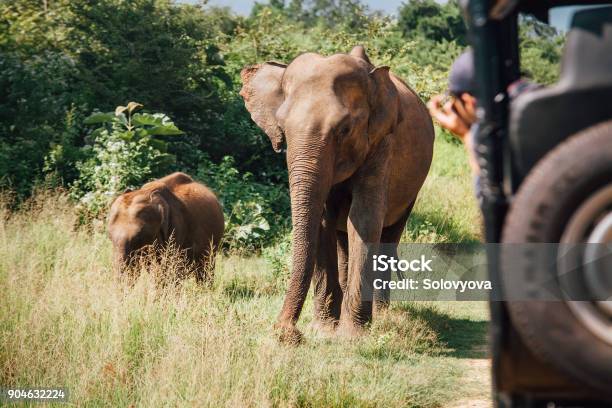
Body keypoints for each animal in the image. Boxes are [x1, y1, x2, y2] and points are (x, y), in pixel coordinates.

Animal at [240, 46, 436, 342]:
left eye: (344, 130)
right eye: (282, 130)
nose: (286, 332)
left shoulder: (382, 143)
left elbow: (364, 219)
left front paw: (352, 337)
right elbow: (323, 221)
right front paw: (323, 330)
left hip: (413, 190)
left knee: (388, 234)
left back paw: (382, 314)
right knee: (343, 237)